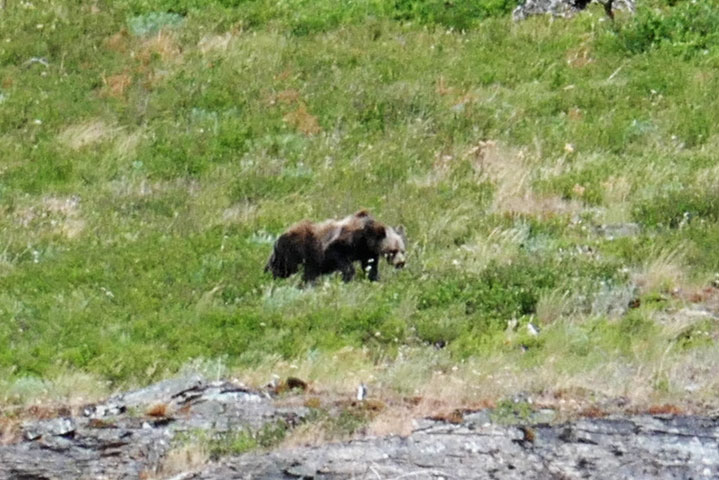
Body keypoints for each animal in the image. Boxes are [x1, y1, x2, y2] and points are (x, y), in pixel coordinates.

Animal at [264, 210, 406, 284]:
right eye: (393, 251)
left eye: (403, 251)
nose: (401, 263)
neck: (367, 238)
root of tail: (278, 238)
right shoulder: (344, 241)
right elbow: (337, 255)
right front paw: (348, 277)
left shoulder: (368, 252)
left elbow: (370, 267)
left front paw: (374, 279)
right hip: (296, 250)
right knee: (288, 269)